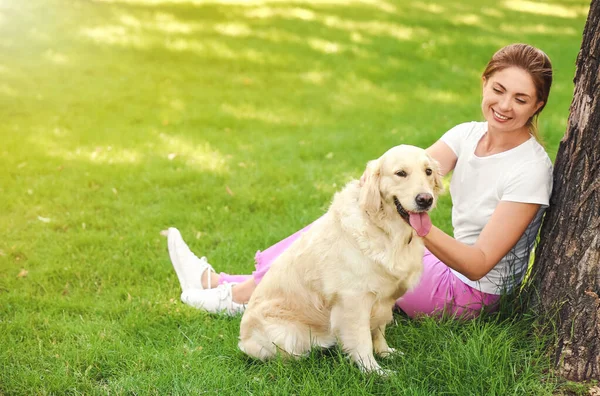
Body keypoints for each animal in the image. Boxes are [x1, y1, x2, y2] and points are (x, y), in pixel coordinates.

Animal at [238, 144, 440, 372]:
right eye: (401, 173)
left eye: (428, 171)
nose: (425, 199)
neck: (386, 230)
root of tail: (243, 341)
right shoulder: (353, 299)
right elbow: (362, 341)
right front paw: (374, 371)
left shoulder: (385, 298)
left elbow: (378, 330)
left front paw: (386, 353)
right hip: (286, 334)